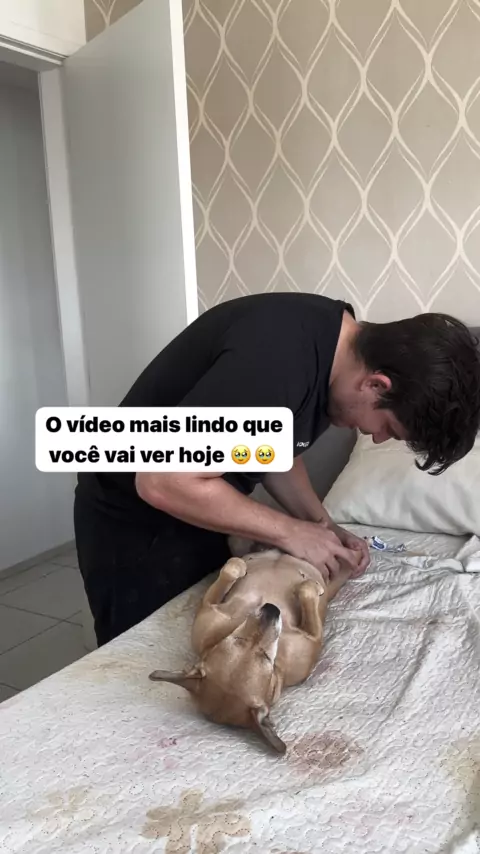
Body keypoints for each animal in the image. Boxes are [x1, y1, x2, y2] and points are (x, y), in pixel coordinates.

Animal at [149, 544, 353, 755]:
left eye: (236, 639)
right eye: (265, 658)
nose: (272, 609)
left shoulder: (208, 609)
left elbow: (230, 570)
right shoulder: (313, 639)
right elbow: (305, 592)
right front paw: (312, 586)